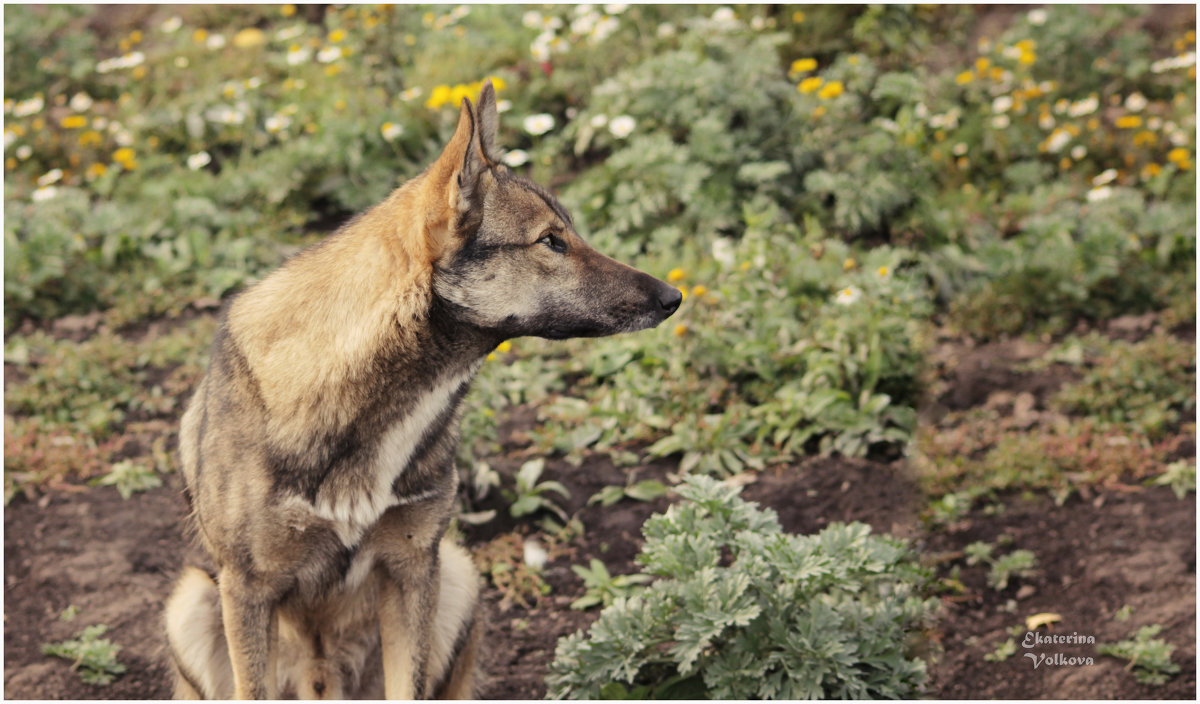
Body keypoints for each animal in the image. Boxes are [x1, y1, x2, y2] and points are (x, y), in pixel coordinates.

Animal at [163, 82, 681, 700]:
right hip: (191, 602)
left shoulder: (412, 567)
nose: (673, 296)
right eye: (550, 242)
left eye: (570, 234)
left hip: (456, 574)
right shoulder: (248, 588)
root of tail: (322, 683)